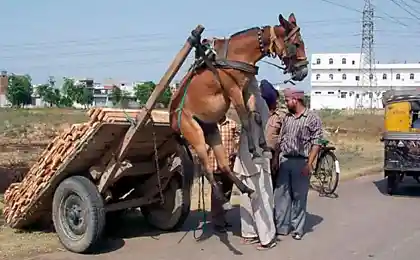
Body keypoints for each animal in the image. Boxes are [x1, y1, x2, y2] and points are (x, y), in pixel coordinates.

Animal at [168, 13, 308, 201]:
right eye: (297, 44)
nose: (303, 72)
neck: (237, 54)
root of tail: (172, 120)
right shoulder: (233, 90)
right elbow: (245, 119)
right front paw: (254, 152)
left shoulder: (247, 89)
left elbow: (256, 116)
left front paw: (263, 147)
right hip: (194, 134)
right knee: (205, 167)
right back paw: (220, 195)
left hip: (211, 130)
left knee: (223, 164)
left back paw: (245, 189)